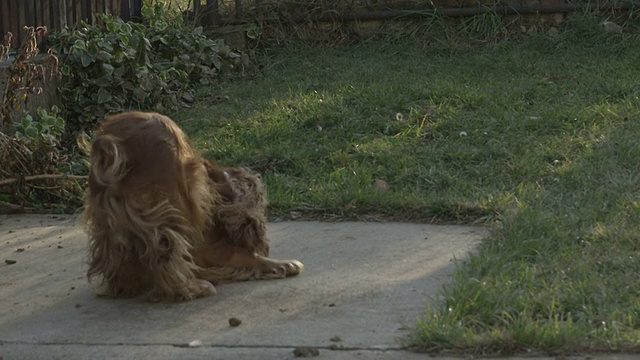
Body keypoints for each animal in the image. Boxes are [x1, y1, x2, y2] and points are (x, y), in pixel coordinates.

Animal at [82, 111, 302, 302]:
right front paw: (284, 264)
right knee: (167, 250)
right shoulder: (210, 247)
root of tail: (112, 142)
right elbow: (245, 256)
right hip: (174, 200)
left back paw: (126, 284)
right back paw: (191, 288)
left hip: (108, 216)